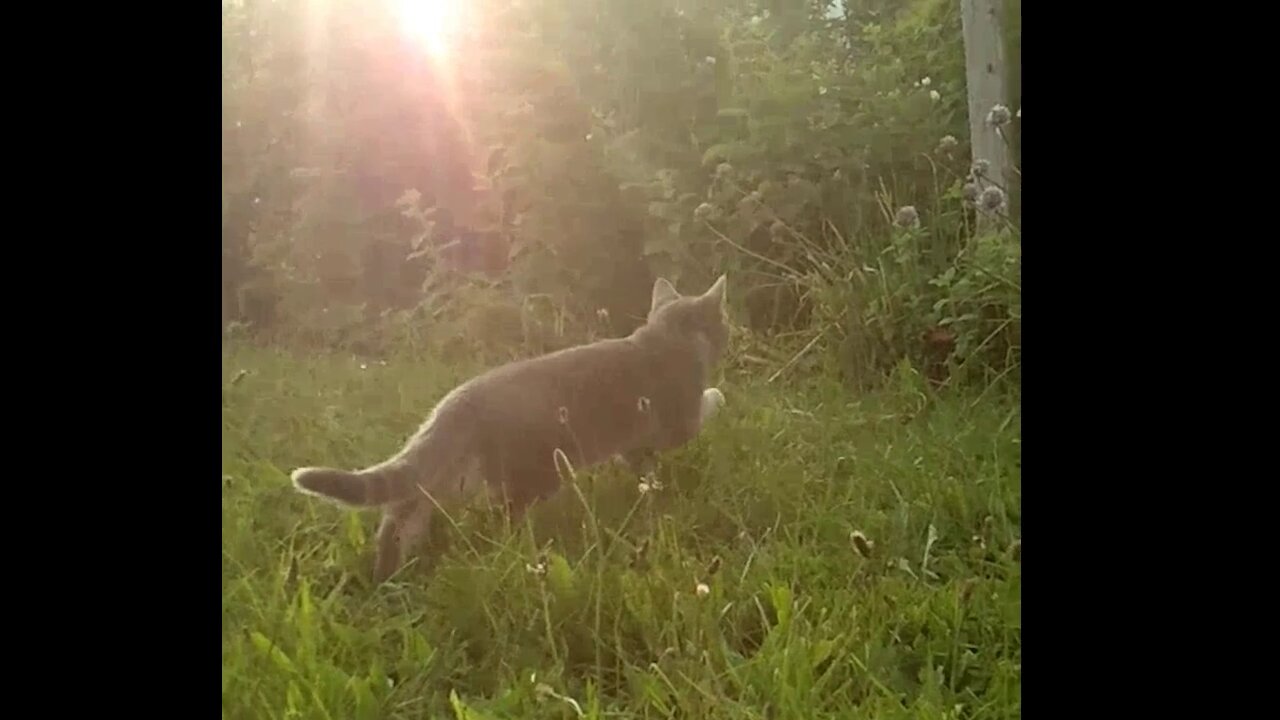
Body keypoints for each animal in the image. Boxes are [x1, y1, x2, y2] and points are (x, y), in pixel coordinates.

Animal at [290, 271, 732, 579]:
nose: (730, 334)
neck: (667, 336)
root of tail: (460, 399)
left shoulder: (634, 447)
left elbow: (645, 469)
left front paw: (651, 490)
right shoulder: (679, 425)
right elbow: (706, 404)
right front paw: (718, 395)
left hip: (446, 475)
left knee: (400, 515)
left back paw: (389, 574)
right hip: (532, 475)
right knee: (499, 518)